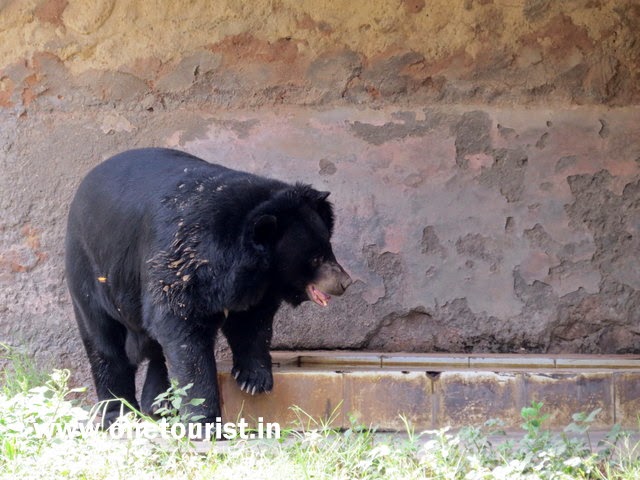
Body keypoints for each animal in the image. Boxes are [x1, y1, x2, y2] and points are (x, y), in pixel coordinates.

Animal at [65, 148, 352, 426]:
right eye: (315, 258)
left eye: (328, 247)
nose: (345, 282)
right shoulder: (179, 265)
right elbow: (184, 335)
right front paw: (204, 420)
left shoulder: (254, 288)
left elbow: (252, 324)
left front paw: (254, 380)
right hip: (90, 272)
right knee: (105, 344)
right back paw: (118, 413)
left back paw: (159, 405)